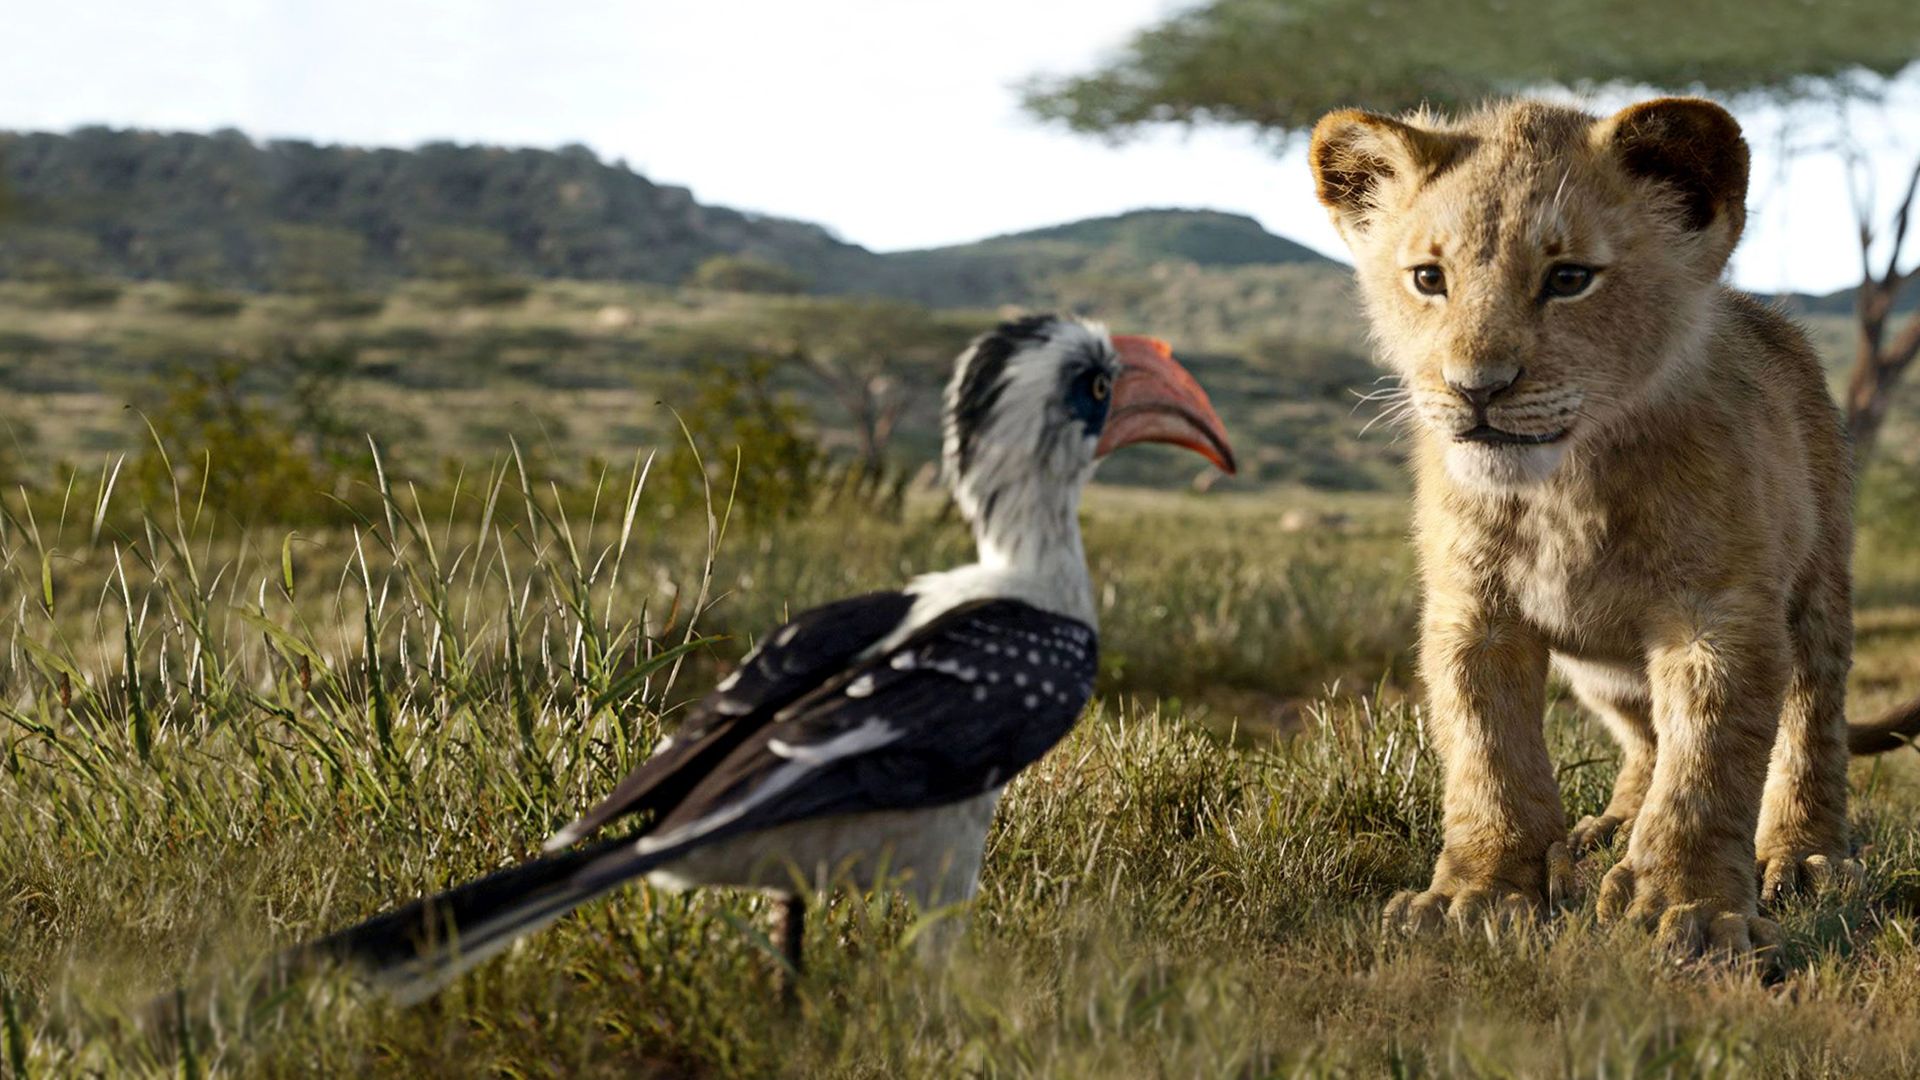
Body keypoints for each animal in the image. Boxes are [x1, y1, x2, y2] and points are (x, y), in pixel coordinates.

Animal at [1306, 96, 1920, 958]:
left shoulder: (1718, 615)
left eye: (1569, 279)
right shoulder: (1473, 613)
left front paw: (1691, 909)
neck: (1565, 487)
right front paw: (1476, 894)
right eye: (1429, 278)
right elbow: (1488, 756)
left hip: (1819, 588)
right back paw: (1612, 829)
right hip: (1600, 670)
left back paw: (1803, 856)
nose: (1476, 389)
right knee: (1645, 737)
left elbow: (1708, 767)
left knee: (1809, 721)